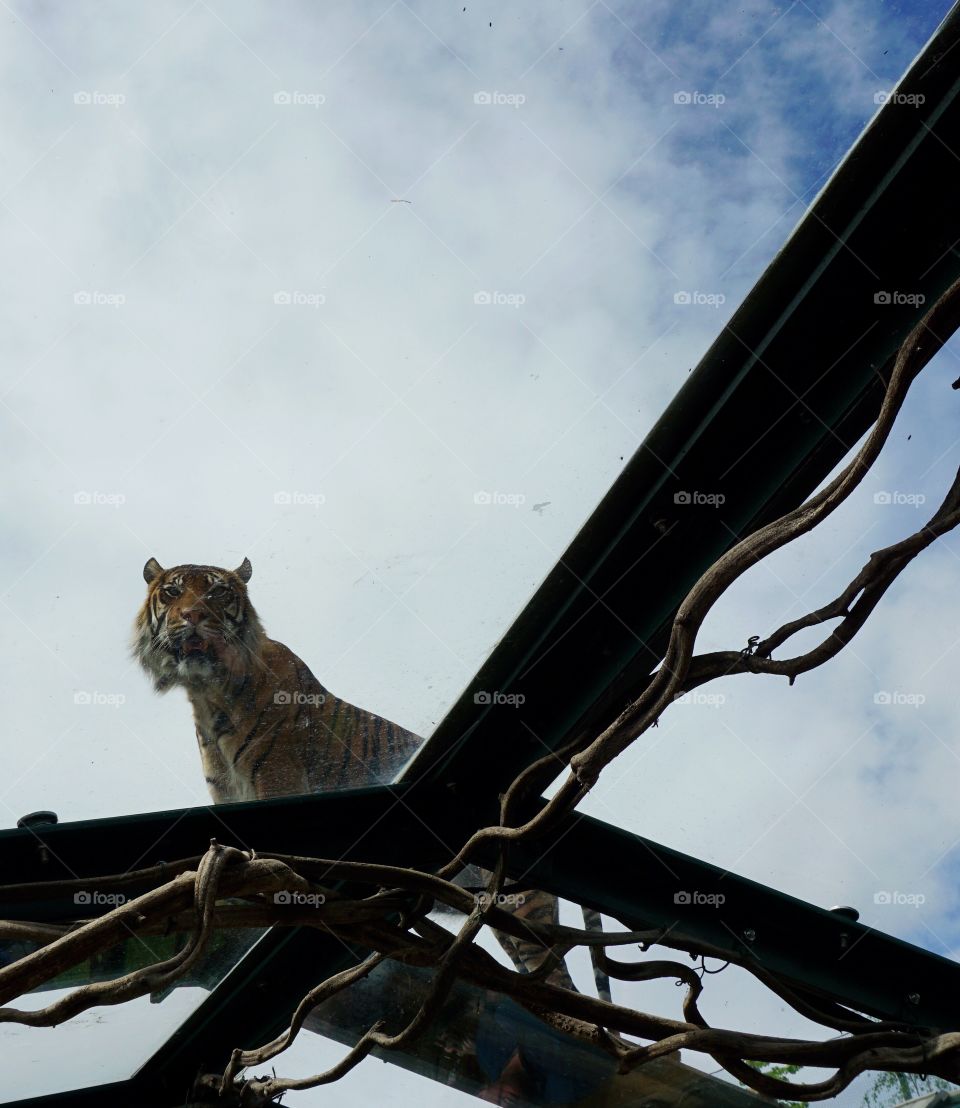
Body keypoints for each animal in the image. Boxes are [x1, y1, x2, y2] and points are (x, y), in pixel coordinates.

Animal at [132, 556, 587, 993]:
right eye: (171, 593)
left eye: (218, 593)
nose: (192, 615)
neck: (208, 695)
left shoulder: (276, 784)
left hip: (524, 906)